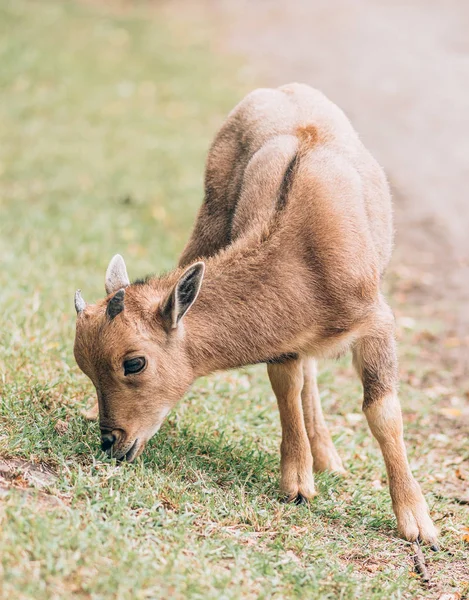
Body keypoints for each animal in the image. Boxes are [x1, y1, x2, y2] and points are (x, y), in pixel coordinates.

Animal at [73, 82, 436, 548]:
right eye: (85, 368)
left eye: (134, 362)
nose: (112, 442)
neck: (306, 256)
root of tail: (280, 89)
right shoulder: (286, 336)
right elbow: (287, 386)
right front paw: (298, 485)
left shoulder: (376, 322)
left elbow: (383, 412)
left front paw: (418, 523)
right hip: (210, 218)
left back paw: (330, 459)